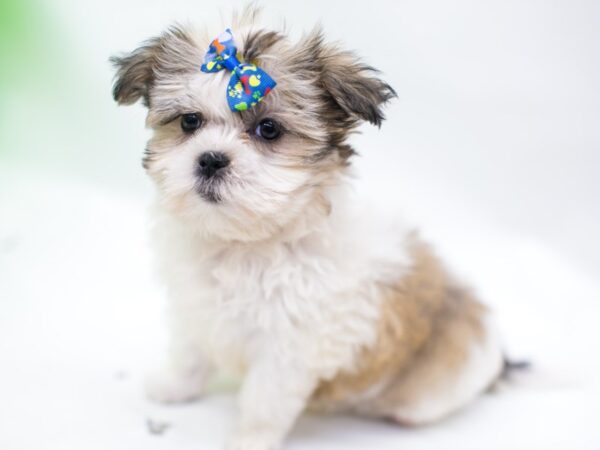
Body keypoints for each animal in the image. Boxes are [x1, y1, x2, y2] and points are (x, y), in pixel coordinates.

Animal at [111, 9, 506, 450]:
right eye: (189, 122)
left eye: (268, 129)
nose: (211, 159)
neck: (243, 243)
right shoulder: (196, 306)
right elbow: (191, 352)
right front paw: (175, 387)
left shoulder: (289, 347)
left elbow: (264, 400)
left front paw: (249, 439)